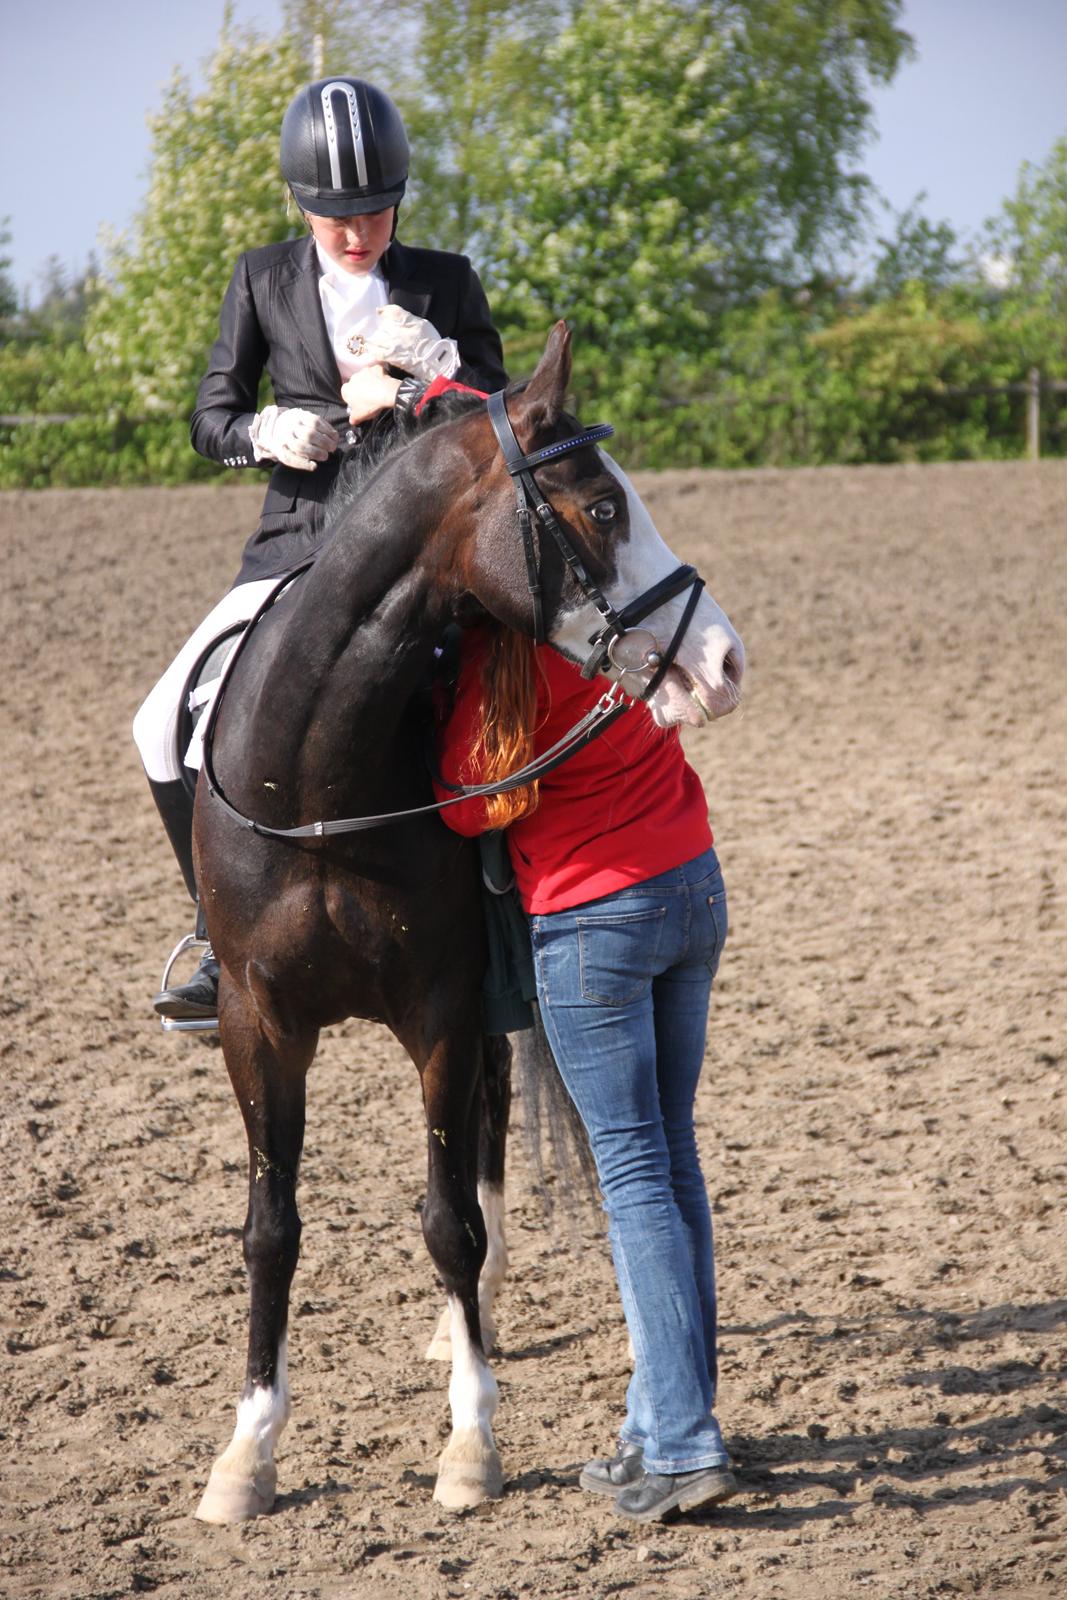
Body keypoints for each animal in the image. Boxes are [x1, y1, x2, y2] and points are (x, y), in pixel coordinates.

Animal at [189, 322, 744, 1523]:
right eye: (600, 508)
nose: (723, 661)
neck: (319, 784)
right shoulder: (259, 1025)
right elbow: (269, 1228)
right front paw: (247, 1451)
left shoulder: (442, 1013)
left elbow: (450, 1217)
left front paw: (469, 1440)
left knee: (481, 1157)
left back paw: (467, 1330)